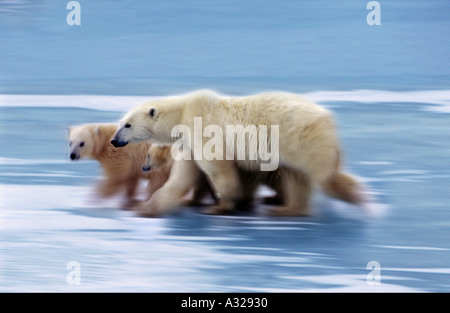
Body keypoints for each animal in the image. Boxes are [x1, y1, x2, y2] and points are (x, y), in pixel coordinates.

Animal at [110, 88, 364, 214]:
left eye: (127, 125)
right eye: (121, 122)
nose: (113, 140)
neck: (182, 113)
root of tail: (328, 117)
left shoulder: (202, 128)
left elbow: (218, 168)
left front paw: (222, 204)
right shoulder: (188, 143)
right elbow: (183, 177)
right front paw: (149, 207)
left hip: (302, 139)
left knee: (326, 176)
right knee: (299, 177)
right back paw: (288, 209)